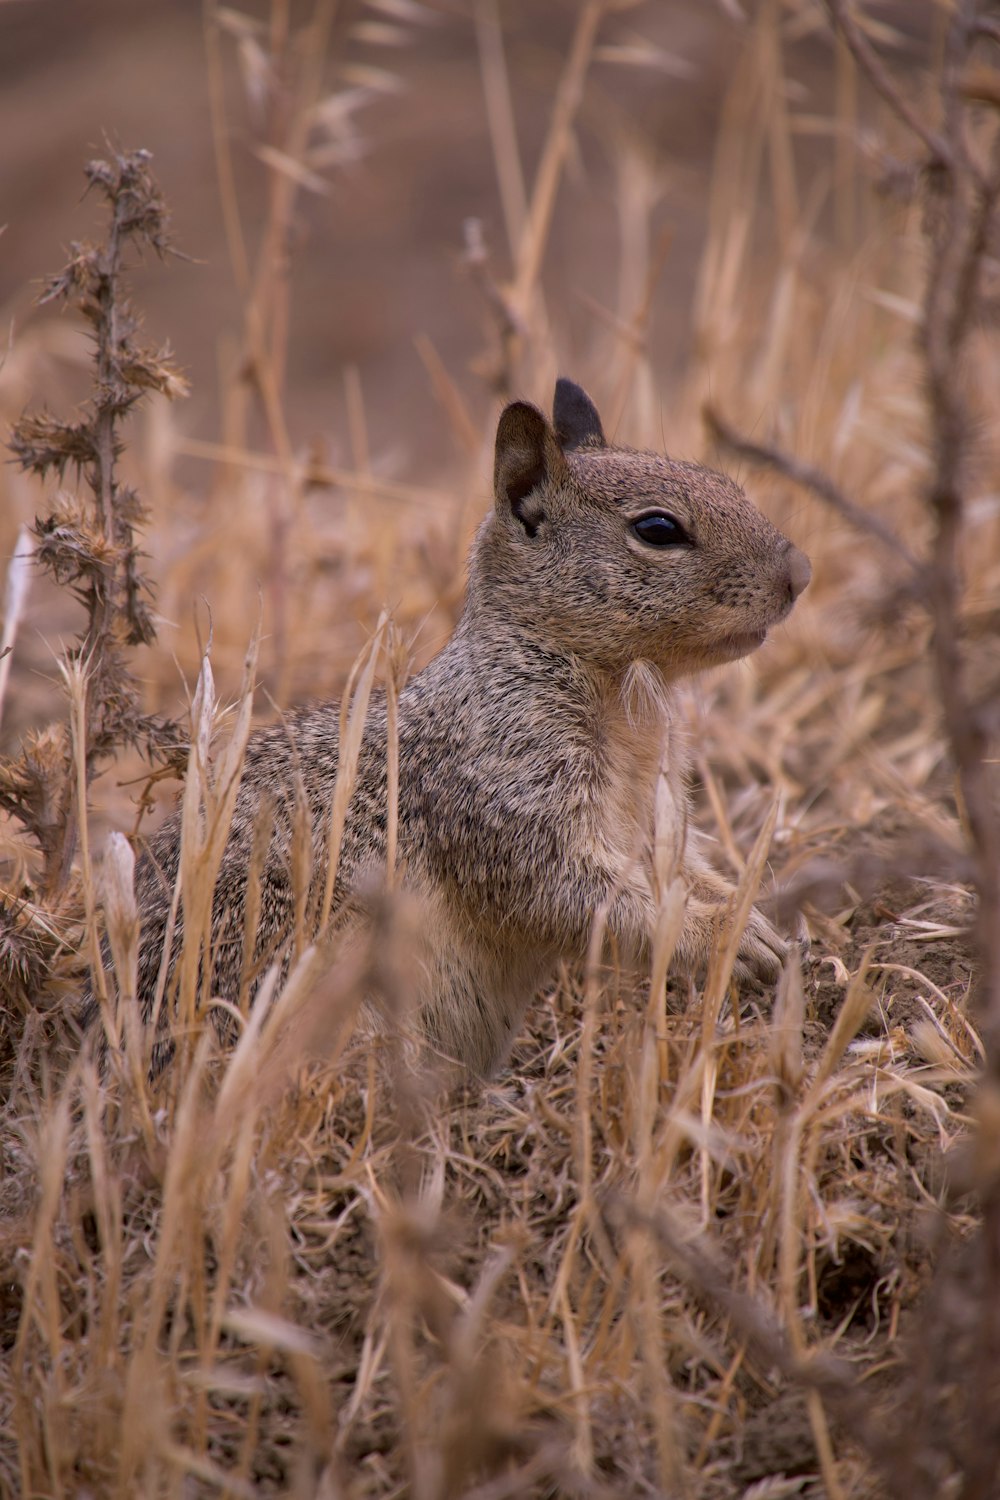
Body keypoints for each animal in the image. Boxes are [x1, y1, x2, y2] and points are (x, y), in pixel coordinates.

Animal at [125, 381, 815, 1074]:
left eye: (728, 482)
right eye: (658, 529)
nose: (800, 573)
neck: (626, 699)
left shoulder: (656, 807)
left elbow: (680, 867)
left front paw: (752, 916)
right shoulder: (503, 783)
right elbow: (576, 895)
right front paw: (721, 935)